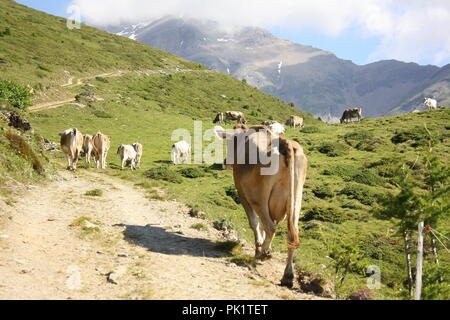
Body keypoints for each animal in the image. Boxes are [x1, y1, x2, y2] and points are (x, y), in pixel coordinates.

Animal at [214, 125, 306, 288]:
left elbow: (254, 223)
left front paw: (259, 247)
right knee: (292, 234)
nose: (225, 162)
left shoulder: (242, 192)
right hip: (296, 200)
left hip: (258, 198)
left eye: (230, 143)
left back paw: (263, 254)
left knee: (270, 226)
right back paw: (287, 276)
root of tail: (284, 142)